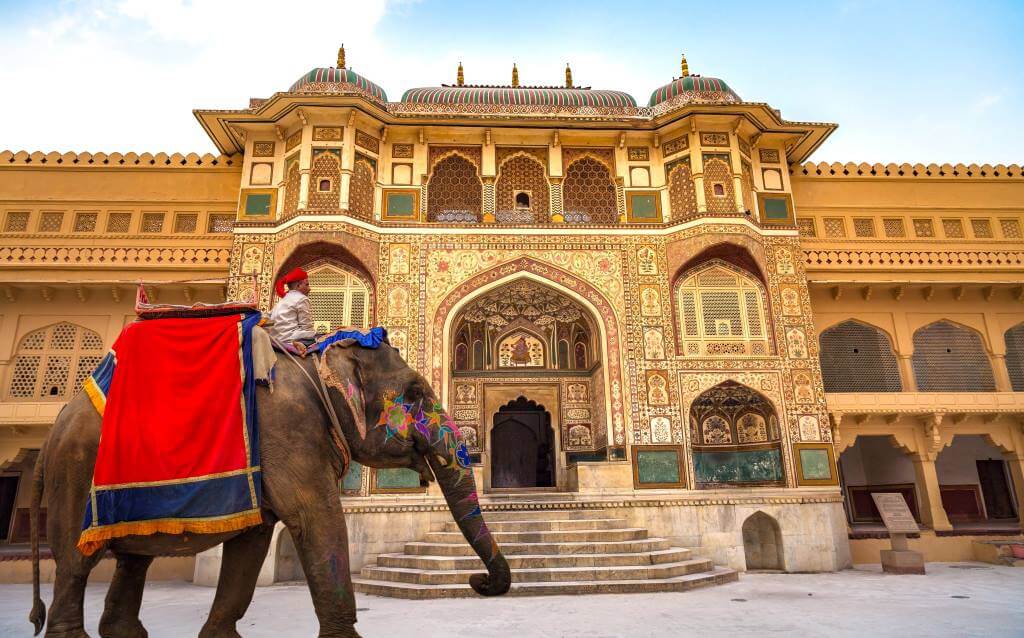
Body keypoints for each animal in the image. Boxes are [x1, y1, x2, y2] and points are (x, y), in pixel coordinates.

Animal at [29, 333, 512, 638]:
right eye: (413, 393)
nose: (478, 582)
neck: (316, 364)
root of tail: (56, 424)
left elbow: (253, 543)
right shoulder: (288, 429)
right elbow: (317, 521)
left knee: (133, 560)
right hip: (75, 470)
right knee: (74, 564)